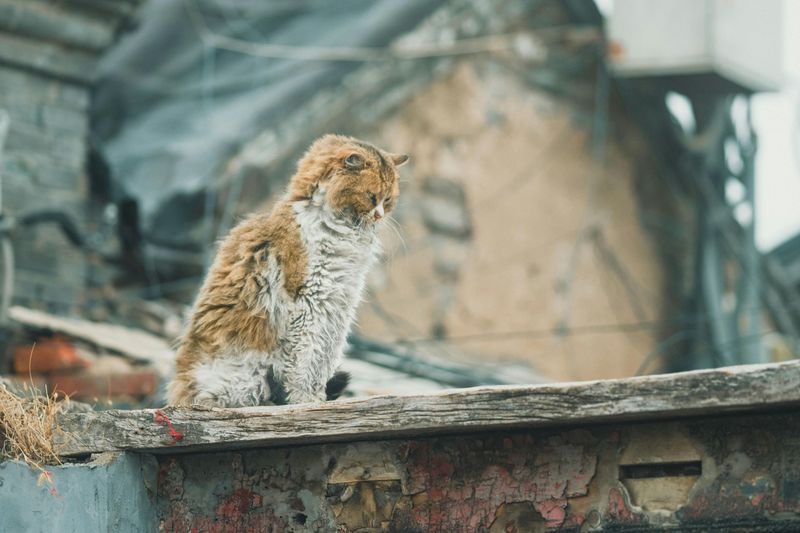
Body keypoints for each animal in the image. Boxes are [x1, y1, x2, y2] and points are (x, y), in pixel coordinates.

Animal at [167, 135, 406, 406]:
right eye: (372, 197)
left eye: (388, 201)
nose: (379, 216)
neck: (340, 231)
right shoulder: (312, 304)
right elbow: (305, 363)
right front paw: (307, 400)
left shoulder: (337, 310)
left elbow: (323, 362)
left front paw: (317, 397)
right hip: (240, 378)